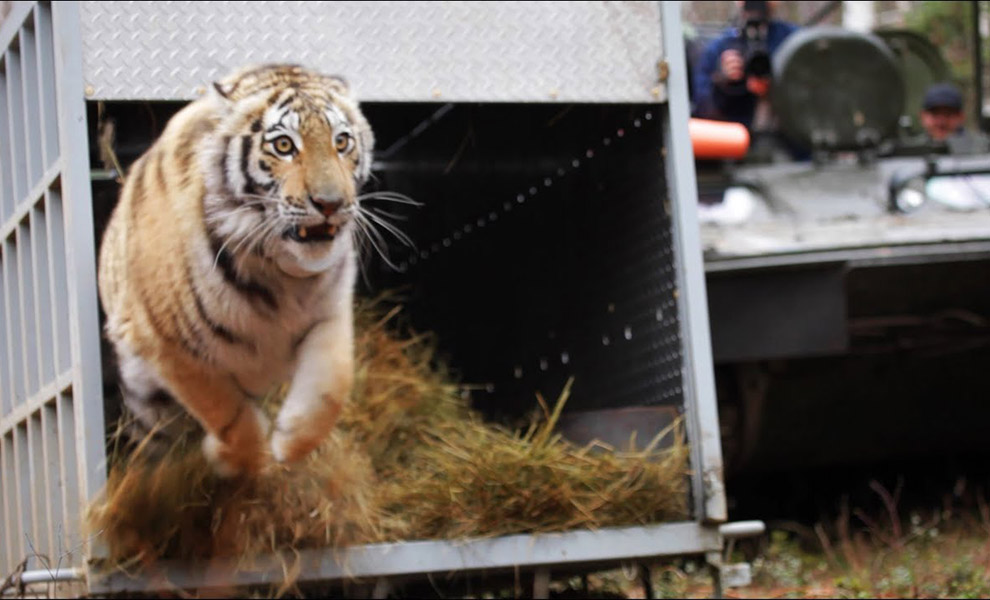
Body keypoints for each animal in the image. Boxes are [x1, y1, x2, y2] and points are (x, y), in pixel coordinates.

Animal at [98, 64, 376, 478]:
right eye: (283, 146)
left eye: (341, 142)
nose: (331, 203)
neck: (282, 275)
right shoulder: (165, 341)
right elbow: (223, 409)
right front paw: (241, 460)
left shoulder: (331, 313)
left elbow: (332, 385)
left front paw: (290, 443)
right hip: (145, 396)